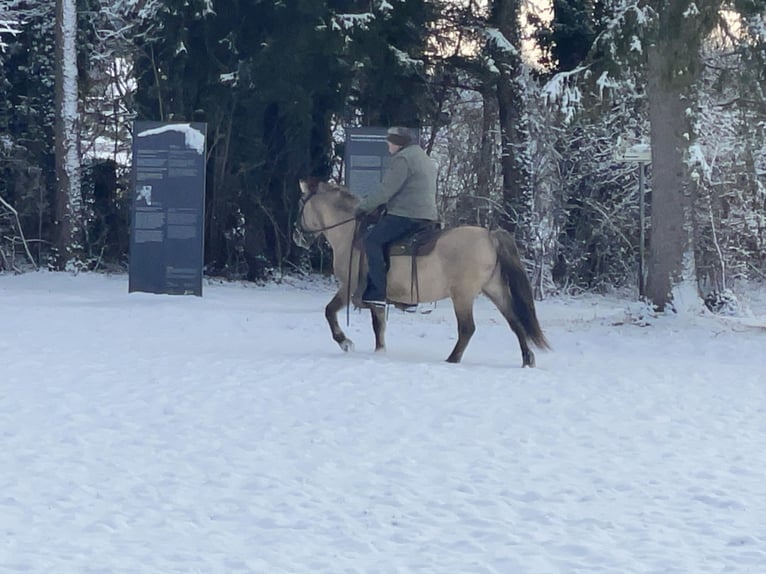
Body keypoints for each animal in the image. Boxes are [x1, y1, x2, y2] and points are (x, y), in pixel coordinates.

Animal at [294, 180, 552, 368]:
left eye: (301, 203)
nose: (297, 236)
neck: (351, 233)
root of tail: (490, 236)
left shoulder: (349, 287)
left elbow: (330, 311)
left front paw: (345, 342)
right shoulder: (377, 298)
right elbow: (379, 326)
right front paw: (380, 352)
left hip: (463, 296)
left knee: (467, 329)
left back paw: (452, 359)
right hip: (495, 290)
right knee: (515, 322)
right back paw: (527, 359)